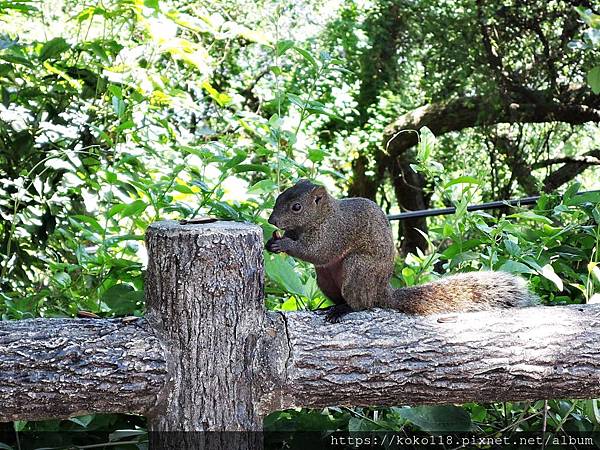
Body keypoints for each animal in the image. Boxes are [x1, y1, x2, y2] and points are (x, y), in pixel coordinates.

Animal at [264, 179, 536, 324]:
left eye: (296, 207)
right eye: (279, 197)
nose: (272, 220)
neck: (324, 216)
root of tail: (382, 292)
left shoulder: (336, 232)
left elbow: (319, 252)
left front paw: (283, 245)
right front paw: (271, 241)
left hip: (358, 269)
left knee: (362, 304)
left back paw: (345, 309)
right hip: (325, 279)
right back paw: (328, 308)